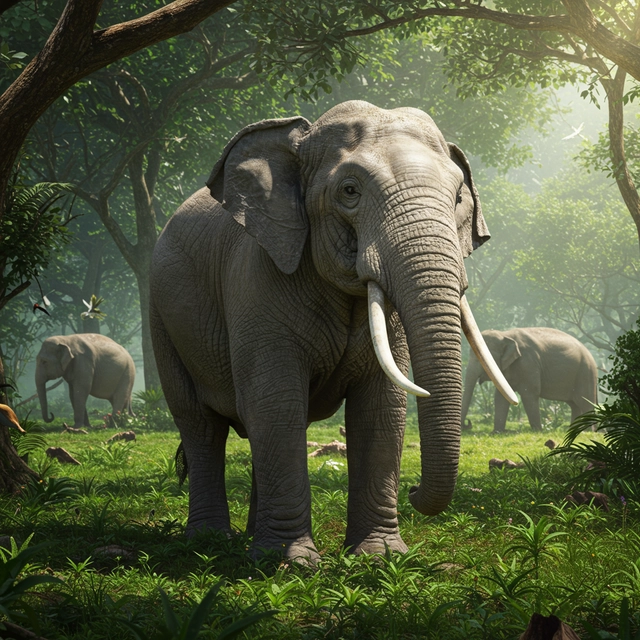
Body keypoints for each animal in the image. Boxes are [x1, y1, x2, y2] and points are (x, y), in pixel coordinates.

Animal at [150, 100, 516, 563]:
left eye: (456, 199)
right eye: (349, 191)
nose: (414, 490)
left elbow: (380, 406)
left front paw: (379, 557)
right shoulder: (257, 280)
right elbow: (275, 400)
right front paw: (291, 564)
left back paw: (251, 539)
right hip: (160, 315)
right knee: (200, 423)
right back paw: (211, 541)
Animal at [461, 327, 598, 433]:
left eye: (484, 358)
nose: (467, 424)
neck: (505, 334)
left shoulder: (529, 363)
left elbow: (529, 393)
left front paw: (537, 431)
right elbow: (501, 396)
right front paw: (497, 432)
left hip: (585, 372)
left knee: (584, 402)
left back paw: (587, 432)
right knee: (574, 405)